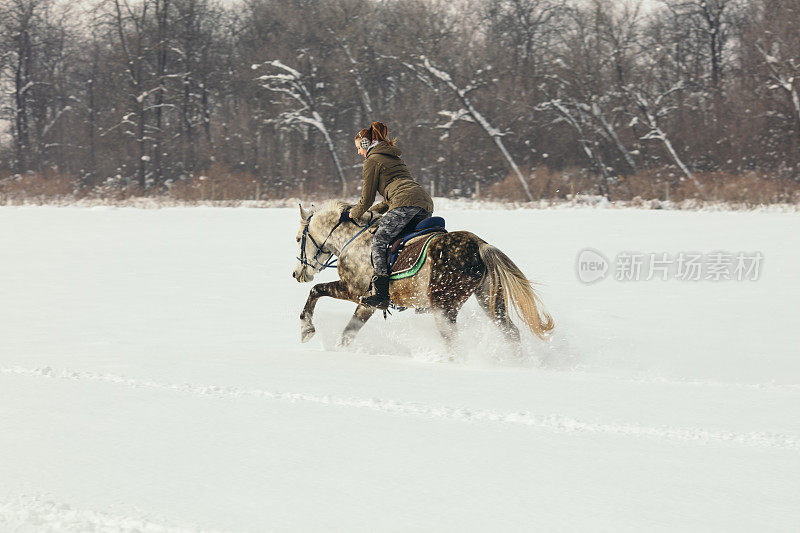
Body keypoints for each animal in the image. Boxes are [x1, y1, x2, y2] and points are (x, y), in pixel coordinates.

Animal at [290, 200, 552, 354]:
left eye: (298, 239)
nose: (297, 273)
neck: (353, 240)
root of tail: (479, 244)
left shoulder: (354, 291)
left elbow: (316, 291)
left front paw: (306, 329)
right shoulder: (368, 305)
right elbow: (348, 334)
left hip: (444, 306)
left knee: (452, 341)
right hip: (490, 300)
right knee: (511, 332)